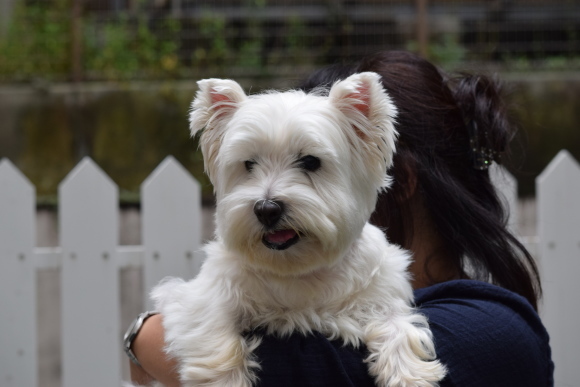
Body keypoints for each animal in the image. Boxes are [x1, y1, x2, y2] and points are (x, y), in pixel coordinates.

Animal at [152, 72, 446, 384]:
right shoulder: (199, 297)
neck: (296, 269)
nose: (266, 209)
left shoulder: (381, 293)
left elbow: (399, 324)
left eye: (310, 161)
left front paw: (411, 374)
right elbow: (215, 335)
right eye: (248, 164)